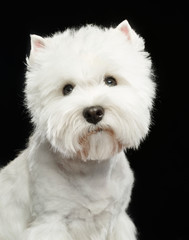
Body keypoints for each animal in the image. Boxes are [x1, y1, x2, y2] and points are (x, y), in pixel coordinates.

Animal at [0, 19, 155, 239]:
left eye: (111, 81)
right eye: (67, 89)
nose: (93, 112)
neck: (92, 166)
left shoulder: (117, 219)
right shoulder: (51, 221)